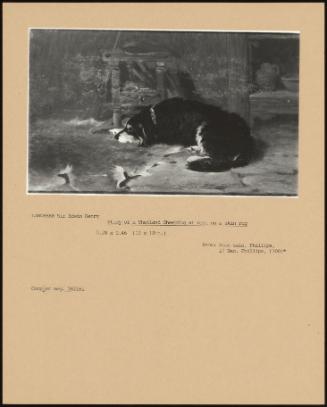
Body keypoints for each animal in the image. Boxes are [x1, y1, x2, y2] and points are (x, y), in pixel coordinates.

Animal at [114, 98, 255, 171]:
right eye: (125, 127)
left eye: (129, 129)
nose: (115, 137)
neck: (155, 119)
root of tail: (247, 140)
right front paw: (115, 130)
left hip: (205, 128)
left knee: (218, 158)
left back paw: (193, 158)